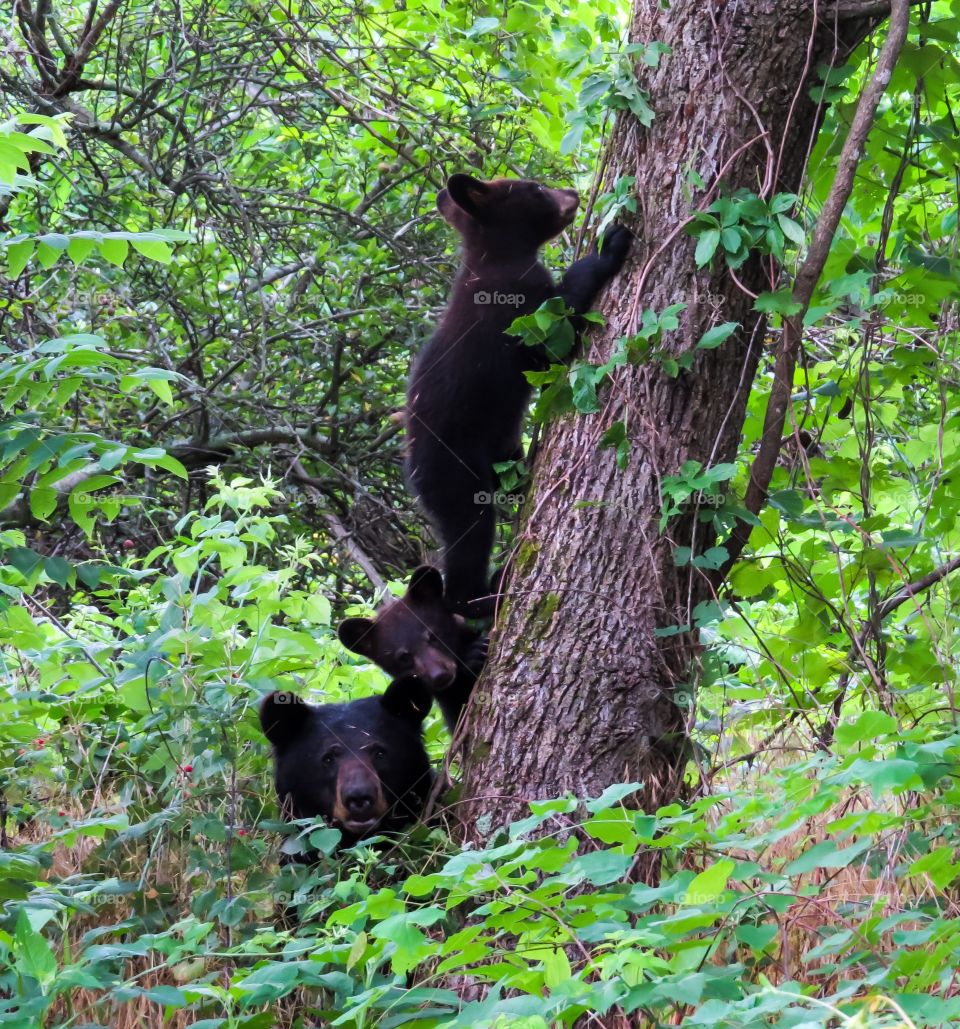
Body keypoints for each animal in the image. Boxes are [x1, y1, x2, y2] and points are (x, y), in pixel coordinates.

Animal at [405, 172, 629, 613]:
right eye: (537, 188)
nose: (572, 193)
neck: (495, 258)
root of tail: (413, 472)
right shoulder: (514, 308)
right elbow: (555, 334)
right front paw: (609, 247)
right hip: (455, 467)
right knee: (469, 532)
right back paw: (478, 599)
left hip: (497, 450)